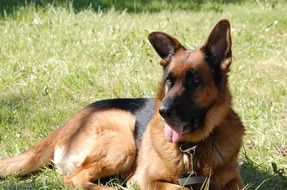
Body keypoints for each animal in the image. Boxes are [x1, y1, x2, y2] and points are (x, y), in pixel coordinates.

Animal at [1, 19, 246, 190]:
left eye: (195, 81)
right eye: (169, 80)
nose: (163, 112)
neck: (193, 149)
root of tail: (66, 125)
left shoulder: (235, 182)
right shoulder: (150, 179)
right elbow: (181, 188)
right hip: (122, 136)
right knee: (74, 178)